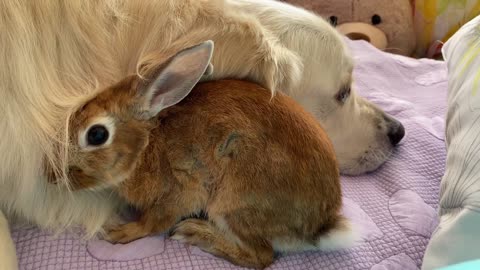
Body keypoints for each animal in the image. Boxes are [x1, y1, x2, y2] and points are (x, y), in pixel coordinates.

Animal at [61, 41, 356, 268]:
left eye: (96, 135)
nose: (57, 176)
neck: (146, 146)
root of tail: (321, 226)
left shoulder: (181, 191)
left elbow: (154, 222)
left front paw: (119, 231)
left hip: (233, 203)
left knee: (261, 256)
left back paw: (196, 233)